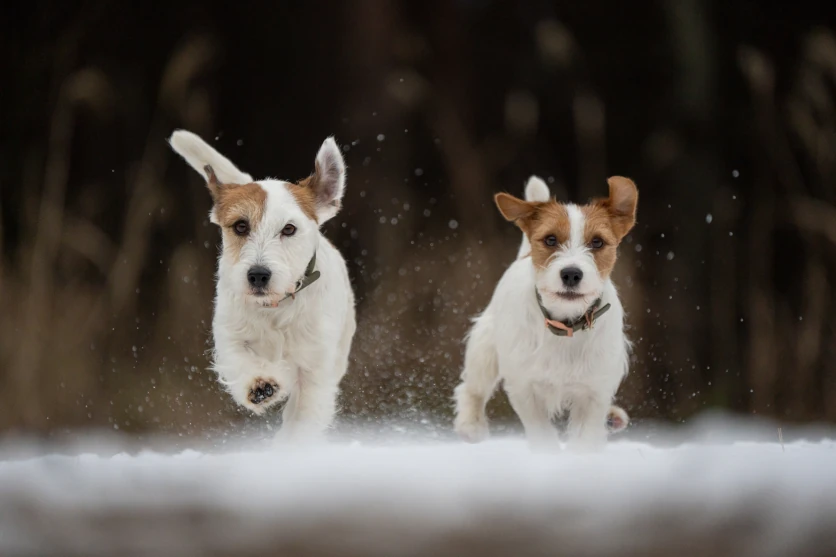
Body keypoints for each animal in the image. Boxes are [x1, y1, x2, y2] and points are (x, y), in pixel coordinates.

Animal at [168, 131, 354, 444]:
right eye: (240, 226)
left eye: (289, 229)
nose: (257, 275)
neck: (275, 308)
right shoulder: (229, 337)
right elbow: (240, 359)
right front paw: (259, 385)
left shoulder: (314, 367)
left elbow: (303, 415)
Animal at [454, 176, 636, 450]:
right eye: (550, 240)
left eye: (597, 242)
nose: (571, 274)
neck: (565, 325)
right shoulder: (524, 388)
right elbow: (542, 434)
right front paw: (547, 456)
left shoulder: (594, 392)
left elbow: (585, 437)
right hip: (483, 349)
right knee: (472, 388)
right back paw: (470, 425)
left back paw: (612, 417)